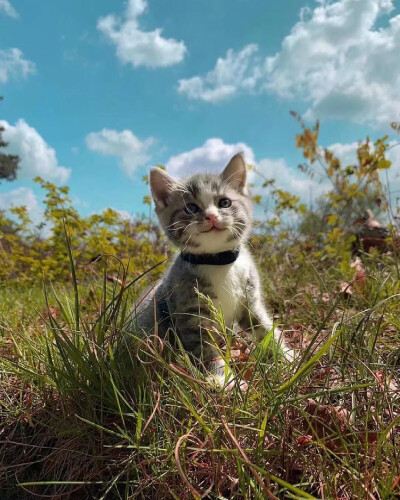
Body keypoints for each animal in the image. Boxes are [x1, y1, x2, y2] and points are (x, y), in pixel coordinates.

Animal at [131, 154, 294, 388]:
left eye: (224, 202)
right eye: (191, 208)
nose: (211, 216)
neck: (218, 262)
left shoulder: (250, 302)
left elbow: (265, 329)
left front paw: (288, 356)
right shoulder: (190, 312)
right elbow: (205, 348)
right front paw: (221, 377)